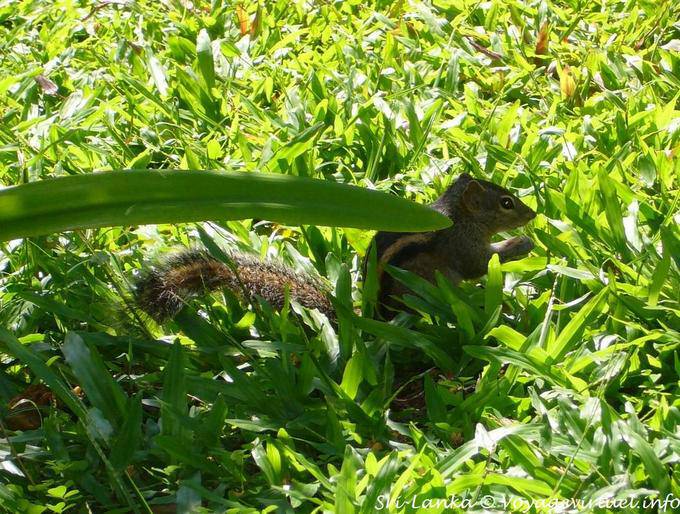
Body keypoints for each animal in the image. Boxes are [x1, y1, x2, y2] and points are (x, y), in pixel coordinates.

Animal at [134, 173, 536, 321]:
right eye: (506, 203)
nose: (533, 213)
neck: (459, 216)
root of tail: (373, 316)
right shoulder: (462, 246)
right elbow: (479, 264)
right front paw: (522, 243)